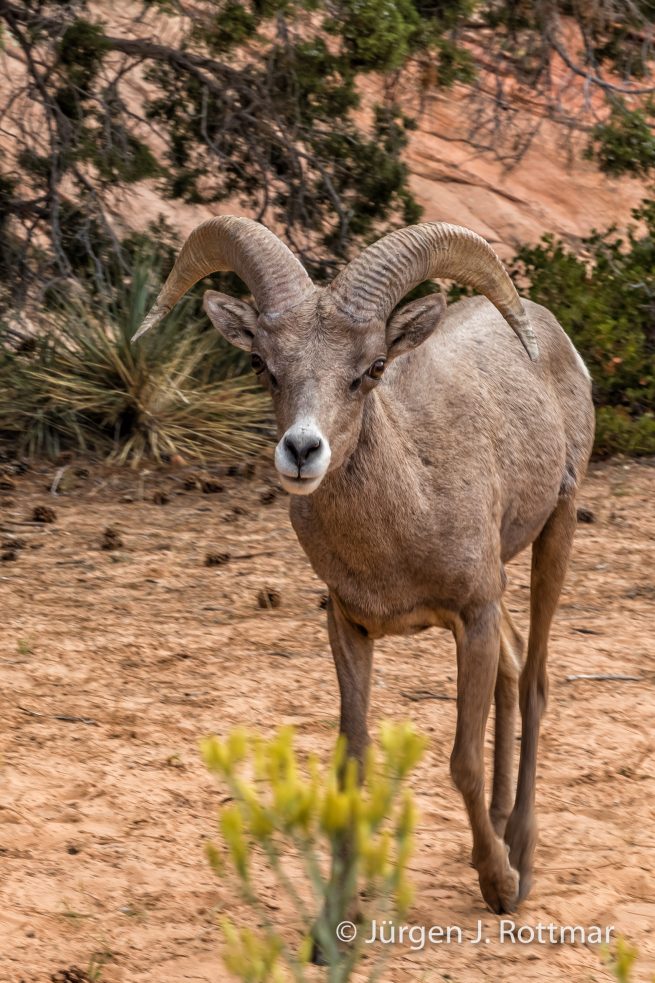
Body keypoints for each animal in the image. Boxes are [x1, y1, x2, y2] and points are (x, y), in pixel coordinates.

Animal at [134, 216, 595, 917]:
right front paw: (336, 915)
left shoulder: (473, 615)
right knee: (515, 670)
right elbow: (352, 761)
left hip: (557, 531)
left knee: (535, 681)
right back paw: (499, 828)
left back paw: (520, 851)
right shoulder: (350, 627)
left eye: (372, 368)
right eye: (263, 365)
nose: (302, 450)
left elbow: (461, 758)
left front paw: (498, 882)